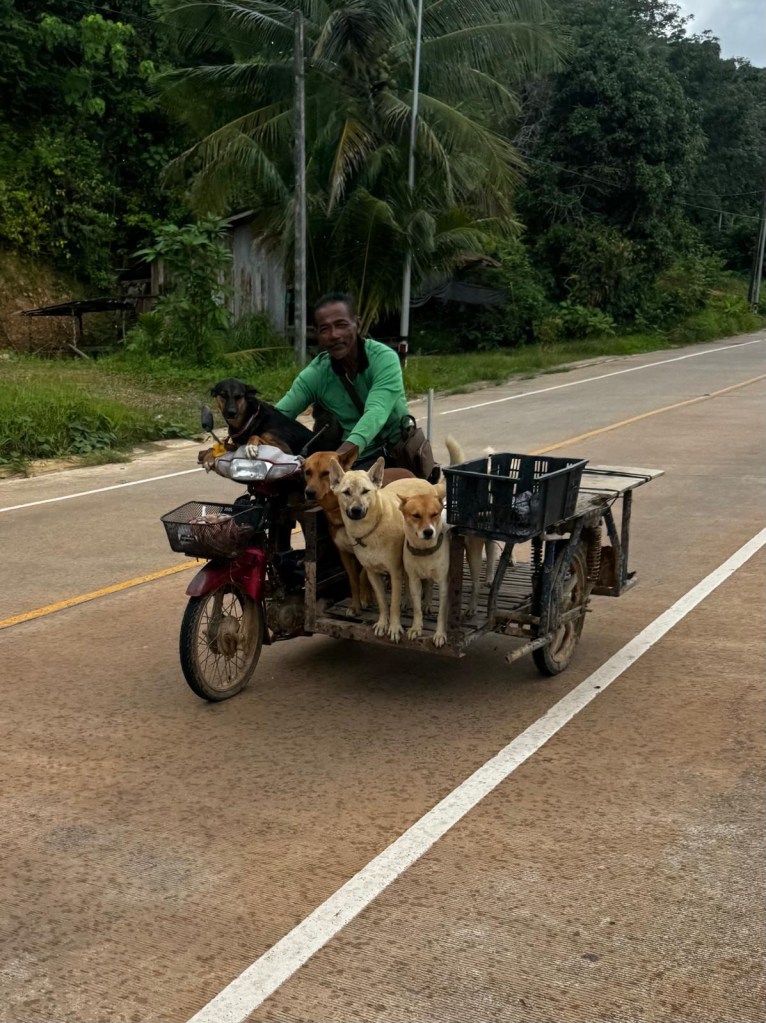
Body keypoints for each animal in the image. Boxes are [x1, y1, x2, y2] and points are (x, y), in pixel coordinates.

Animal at [303, 449, 414, 615]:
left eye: (325, 473)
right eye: (307, 472)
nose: (309, 492)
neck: (338, 513)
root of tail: (406, 470)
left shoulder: (364, 554)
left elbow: (363, 576)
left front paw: (366, 597)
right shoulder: (344, 553)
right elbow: (353, 580)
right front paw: (356, 605)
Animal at [329, 457, 436, 641]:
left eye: (365, 491)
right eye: (346, 492)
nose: (356, 510)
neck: (371, 529)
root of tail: (423, 480)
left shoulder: (394, 572)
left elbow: (393, 604)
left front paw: (394, 627)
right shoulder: (373, 574)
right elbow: (382, 603)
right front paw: (382, 623)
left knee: (427, 582)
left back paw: (427, 603)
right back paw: (407, 601)